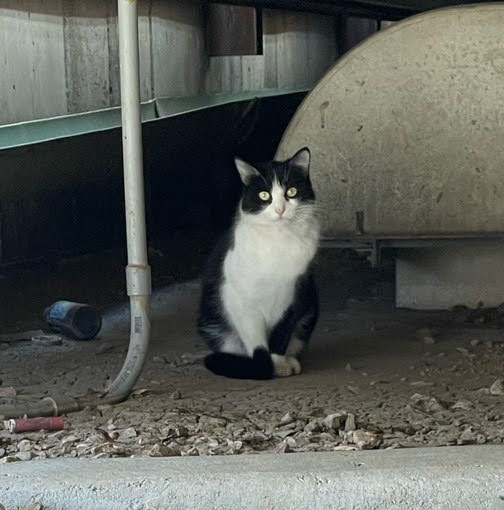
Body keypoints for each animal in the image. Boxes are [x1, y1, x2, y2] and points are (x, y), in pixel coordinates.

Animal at [197, 147, 318, 378]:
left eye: (291, 192)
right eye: (264, 195)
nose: (280, 210)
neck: (279, 242)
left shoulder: (296, 294)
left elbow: (282, 334)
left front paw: (279, 363)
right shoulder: (239, 301)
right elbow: (257, 341)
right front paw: (269, 366)